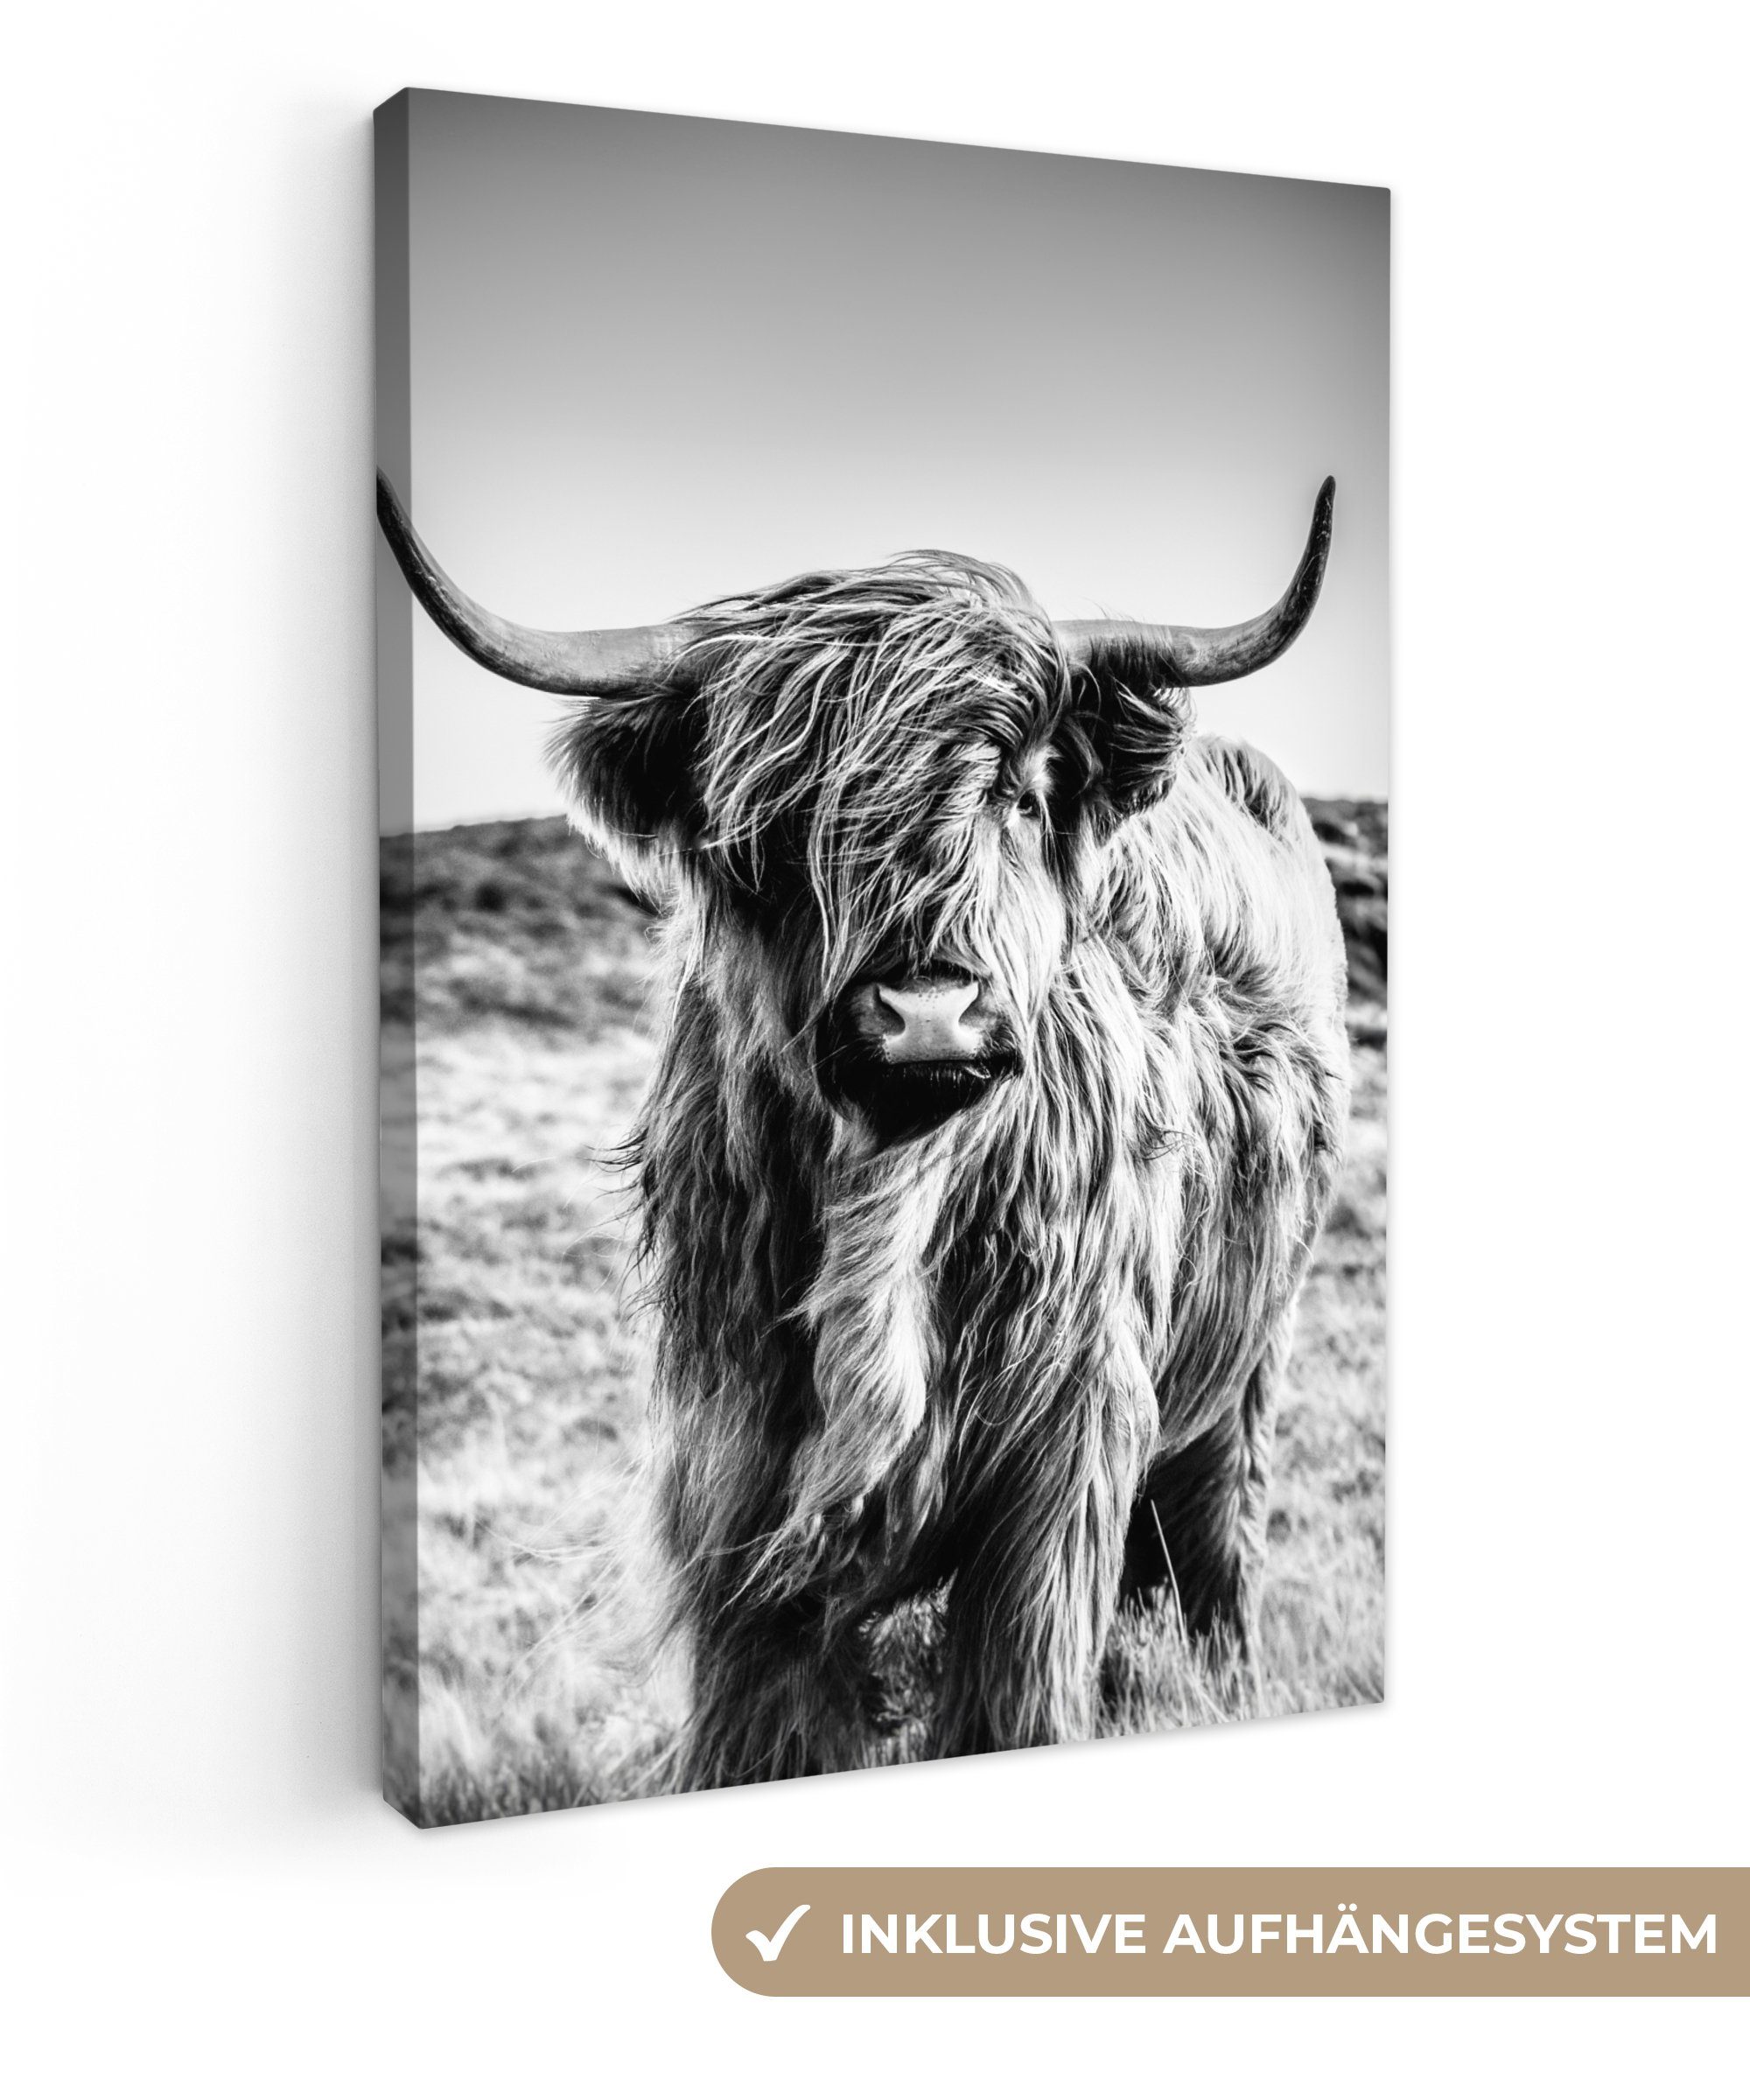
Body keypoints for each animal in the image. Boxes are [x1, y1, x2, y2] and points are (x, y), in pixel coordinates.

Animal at [378, 471, 1350, 1789]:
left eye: (1019, 792)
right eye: (776, 825)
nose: (926, 1011)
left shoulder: (1064, 1460)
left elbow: (1017, 1700)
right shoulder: (736, 1475)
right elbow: (758, 1730)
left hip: (1243, 1379)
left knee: (1212, 1569)